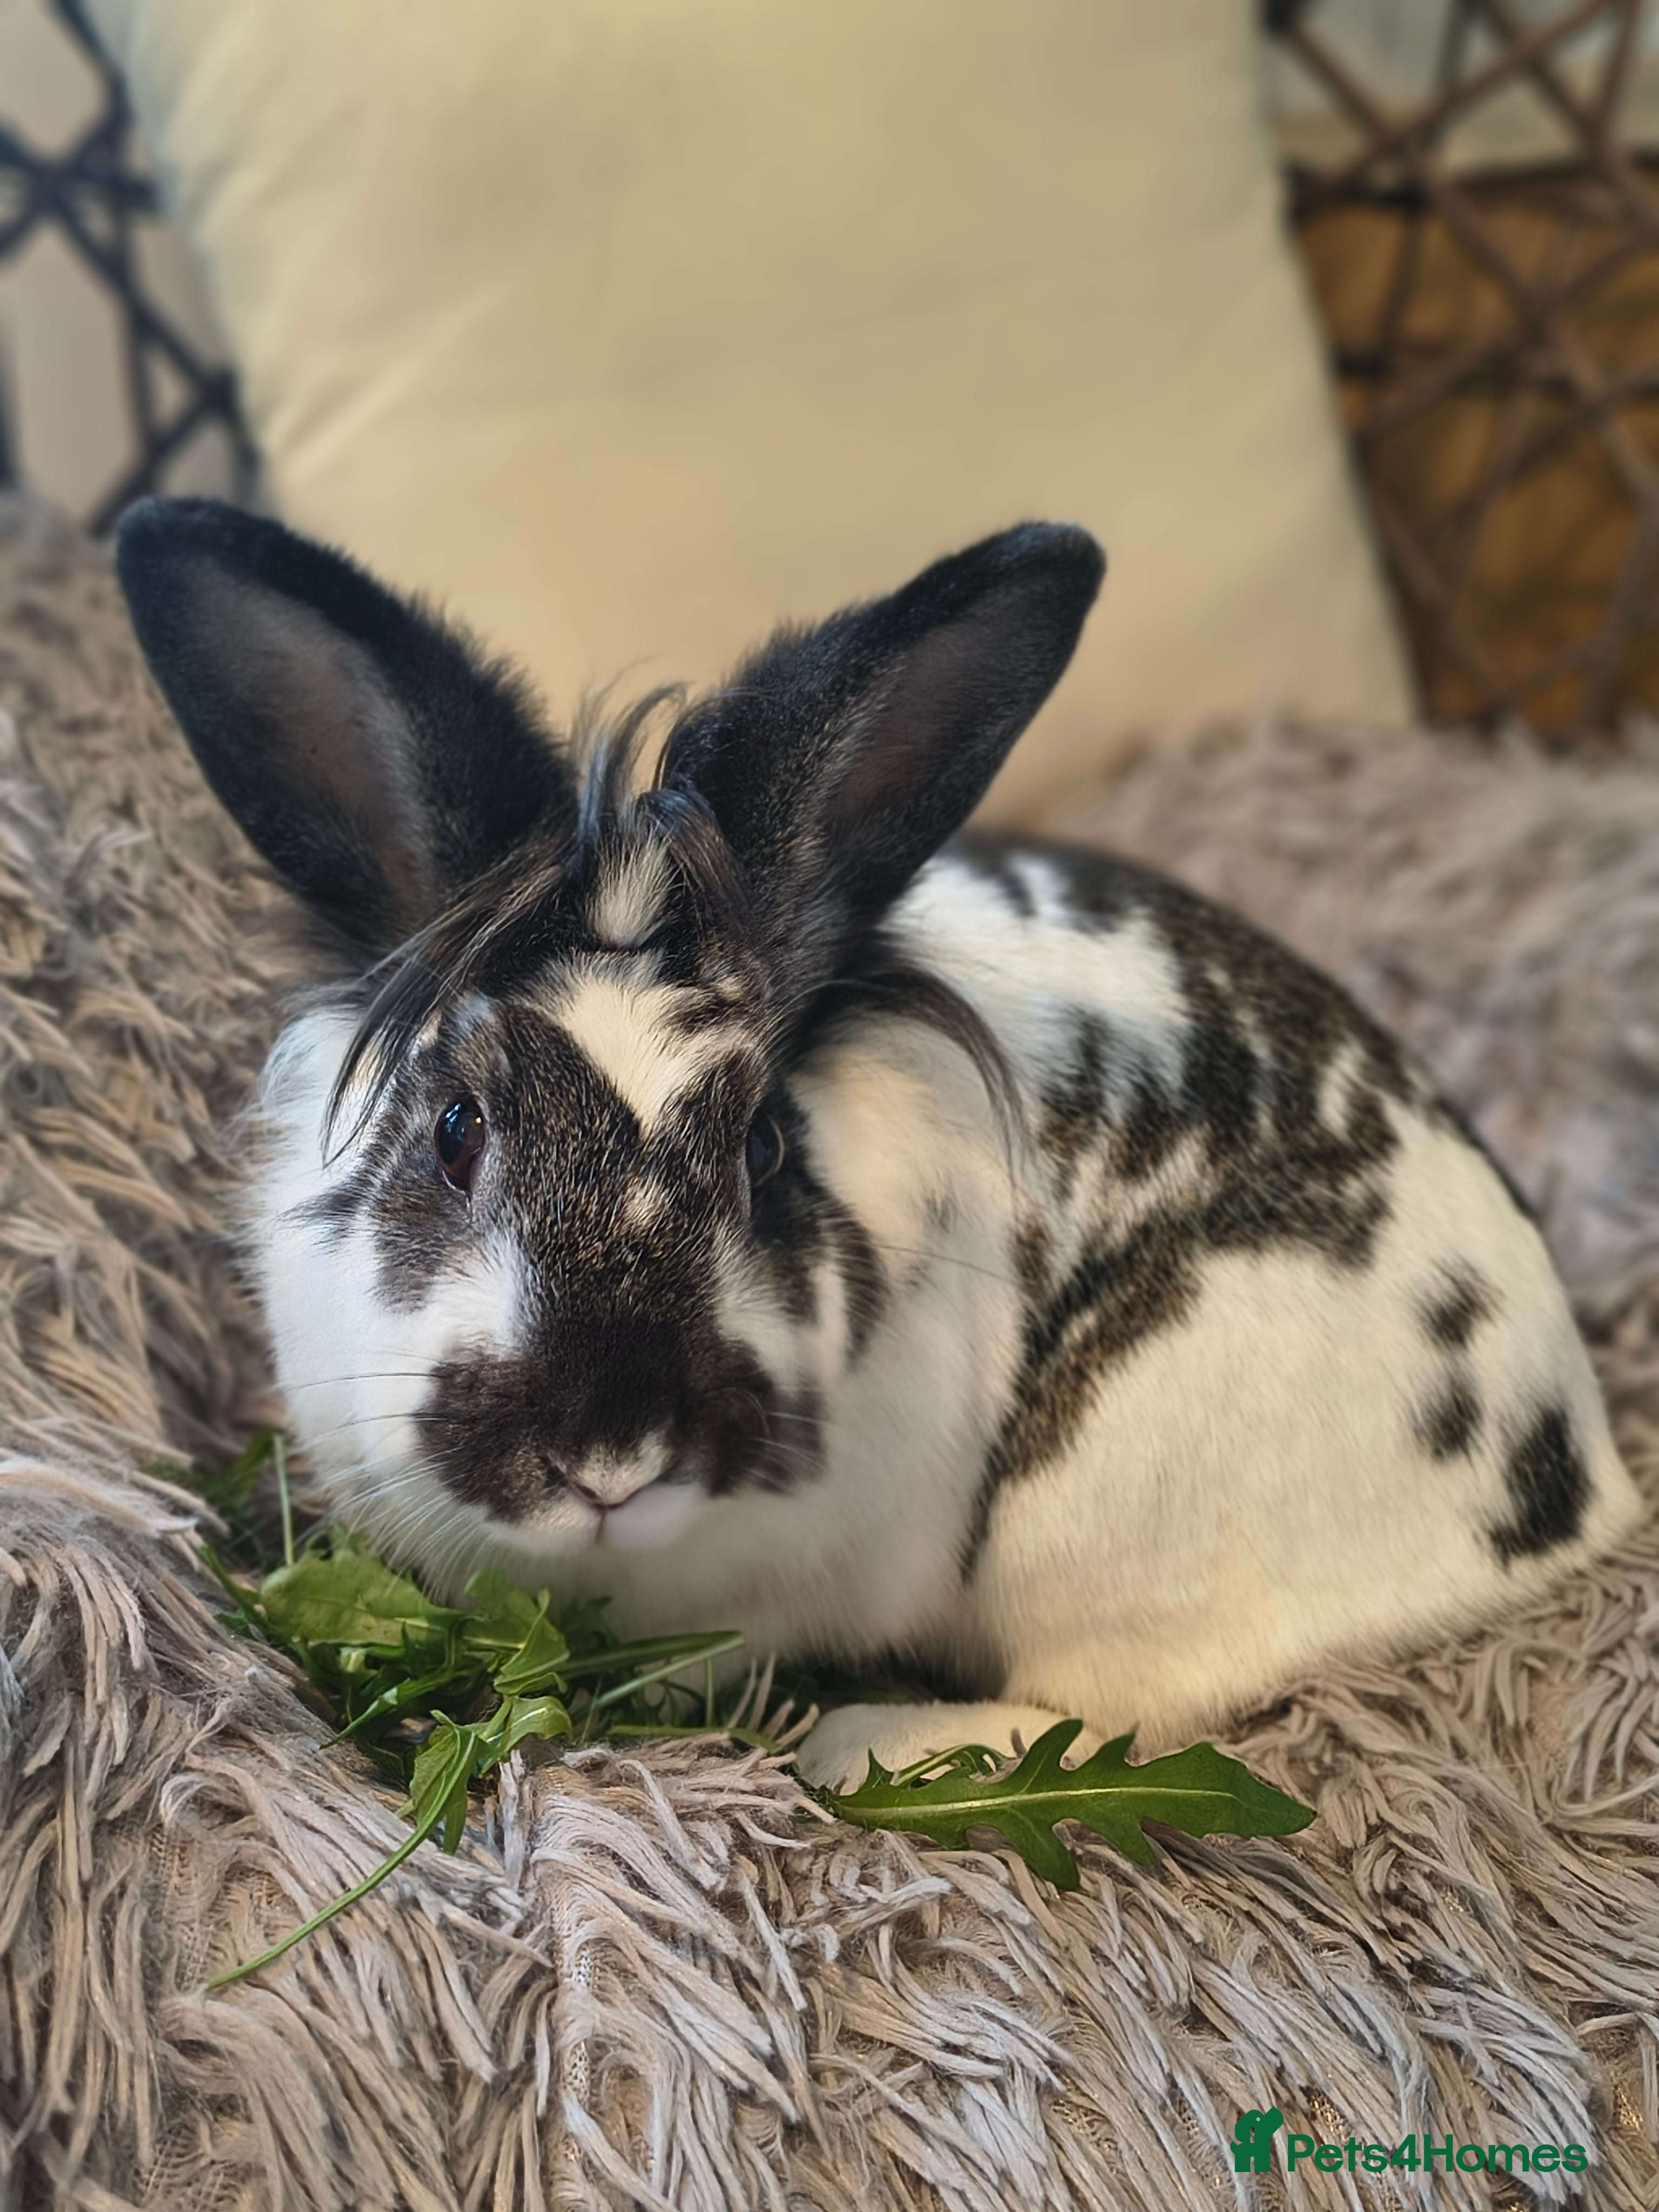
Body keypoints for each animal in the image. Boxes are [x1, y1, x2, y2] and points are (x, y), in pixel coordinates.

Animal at [116, 497, 1644, 1792]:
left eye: (762, 1150)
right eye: (453, 1128)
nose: (611, 1449)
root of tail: (1578, 1489)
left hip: (1114, 1514)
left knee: (1127, 1712)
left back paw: (874, 1745)